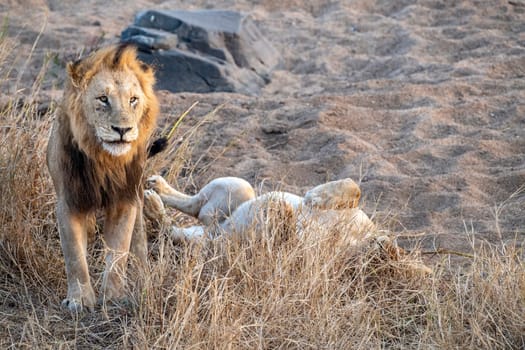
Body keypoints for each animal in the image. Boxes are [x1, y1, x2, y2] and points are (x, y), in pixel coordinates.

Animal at [46, 44, 158, 312]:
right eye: (103, 99)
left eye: (133, 100)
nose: (123, 130)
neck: (104, 160)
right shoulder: (69, 201)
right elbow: (74, 255)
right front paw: (79, 300)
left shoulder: (124, 200)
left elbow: (119, 251)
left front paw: (114, 297)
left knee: (139, 240)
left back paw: (143, 279)